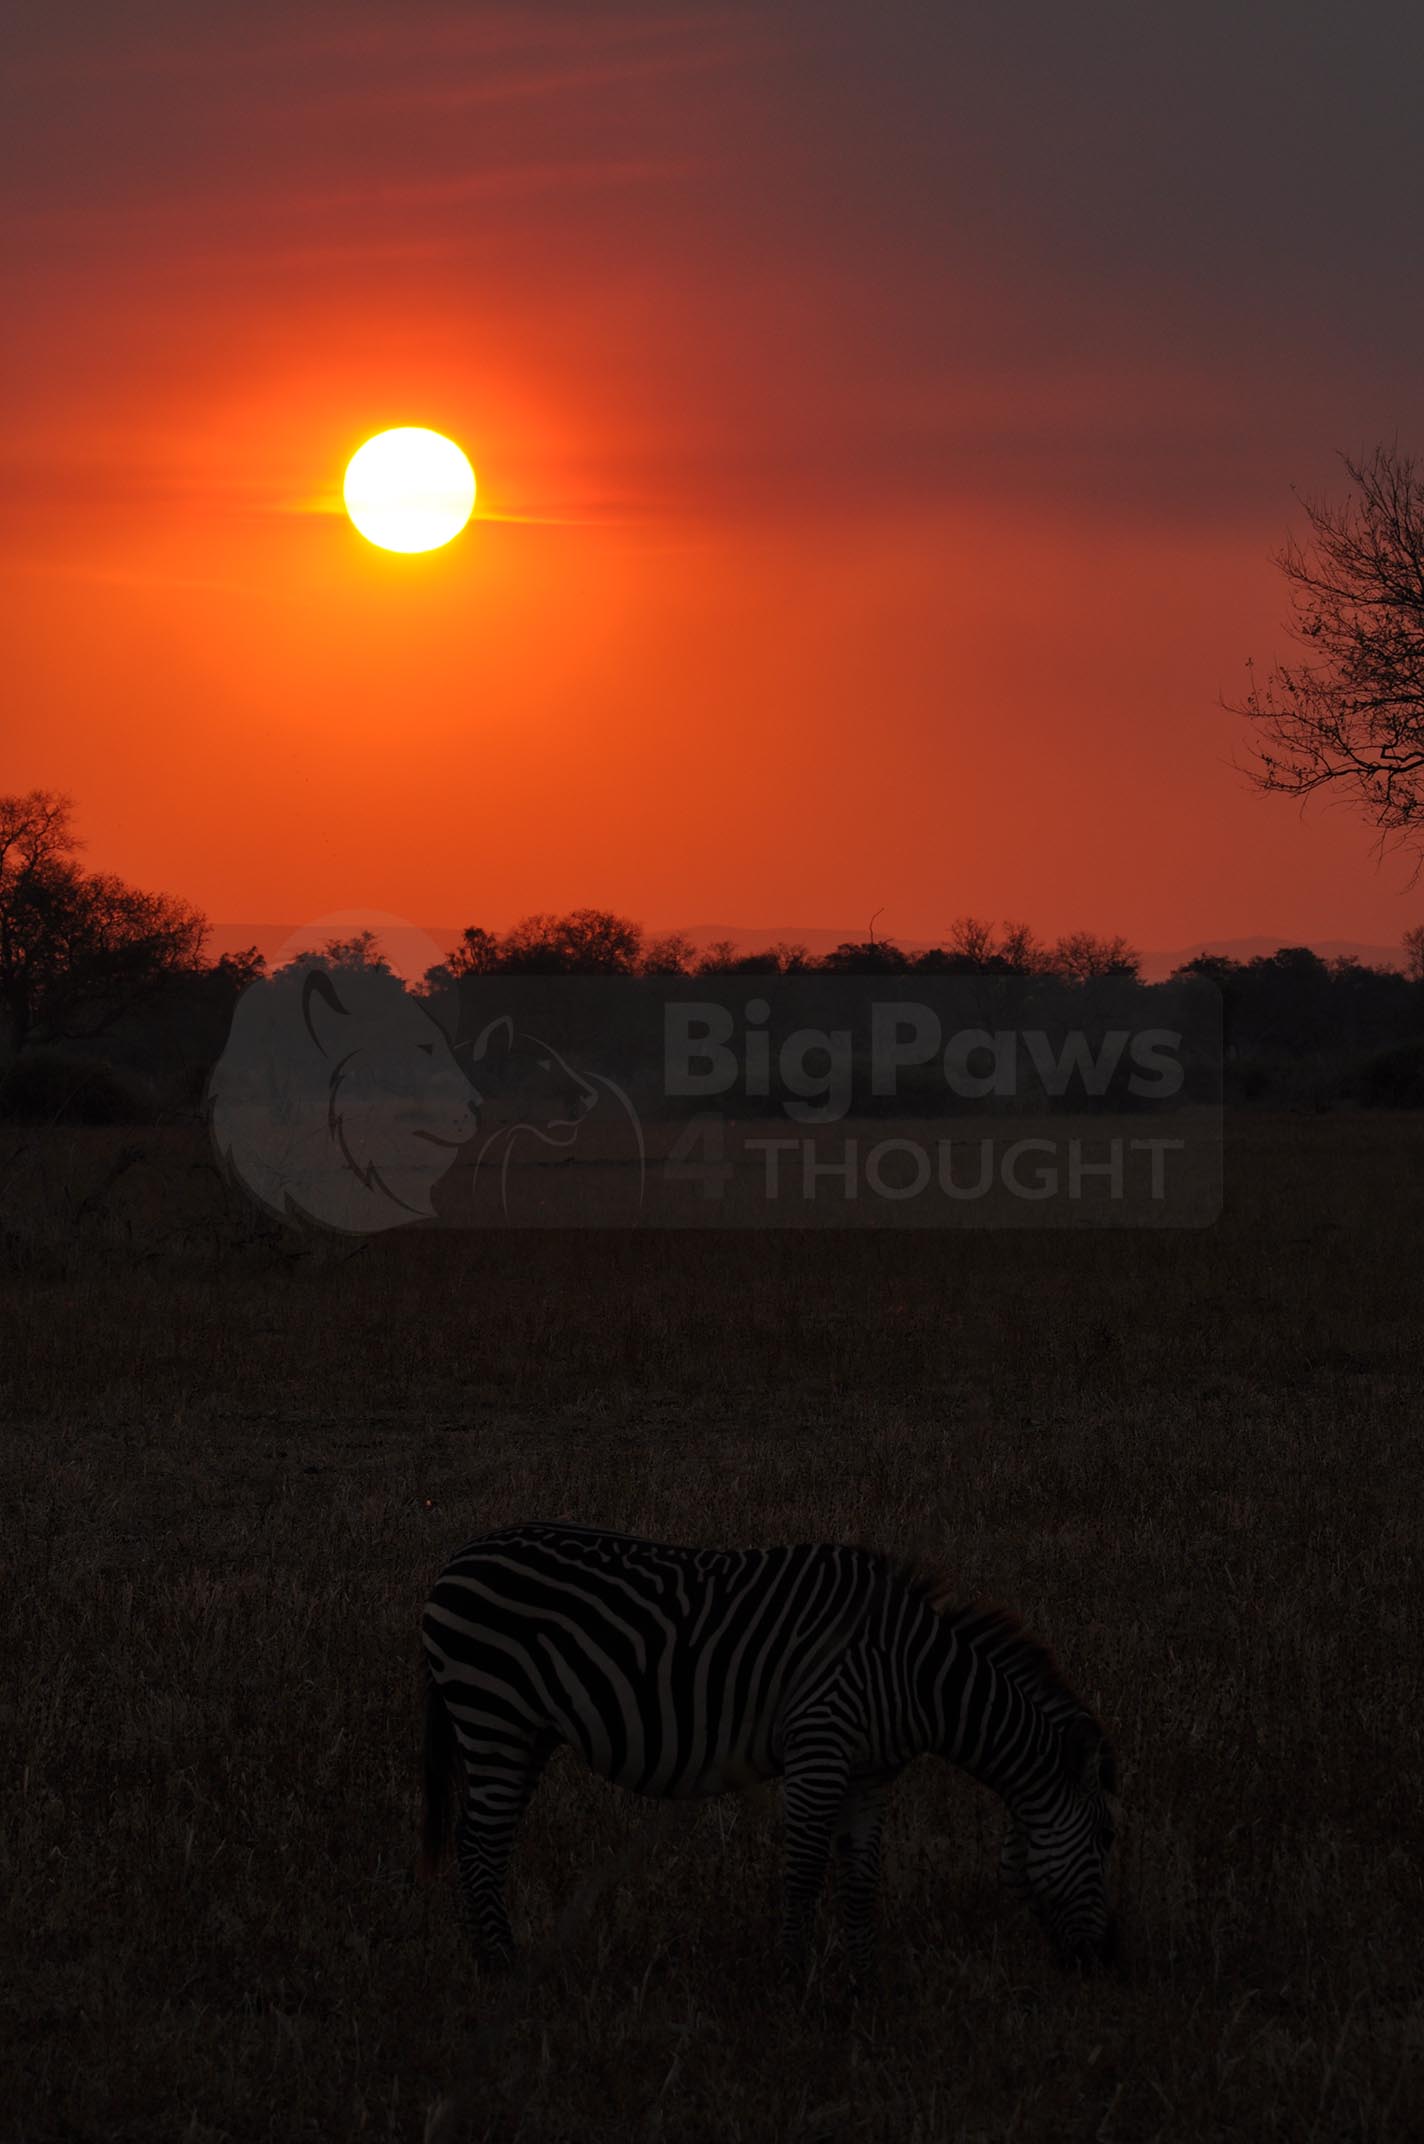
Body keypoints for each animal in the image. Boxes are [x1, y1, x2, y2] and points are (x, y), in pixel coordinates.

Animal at [418, 1517, 1115, 1981]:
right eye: (1106, 1845)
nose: (1108, 1965)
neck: (912, 1672)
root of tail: (457, 1560)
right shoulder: (819, 1746)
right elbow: (804, 1870)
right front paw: (795, 1979)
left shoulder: (867, 1773)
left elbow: (860, 1876)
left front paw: (863, 1981)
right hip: (494, 1717)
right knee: (480, 1844)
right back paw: (502, 1967)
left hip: (523, 1732)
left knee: (474, 1838)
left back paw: (489, 1959)